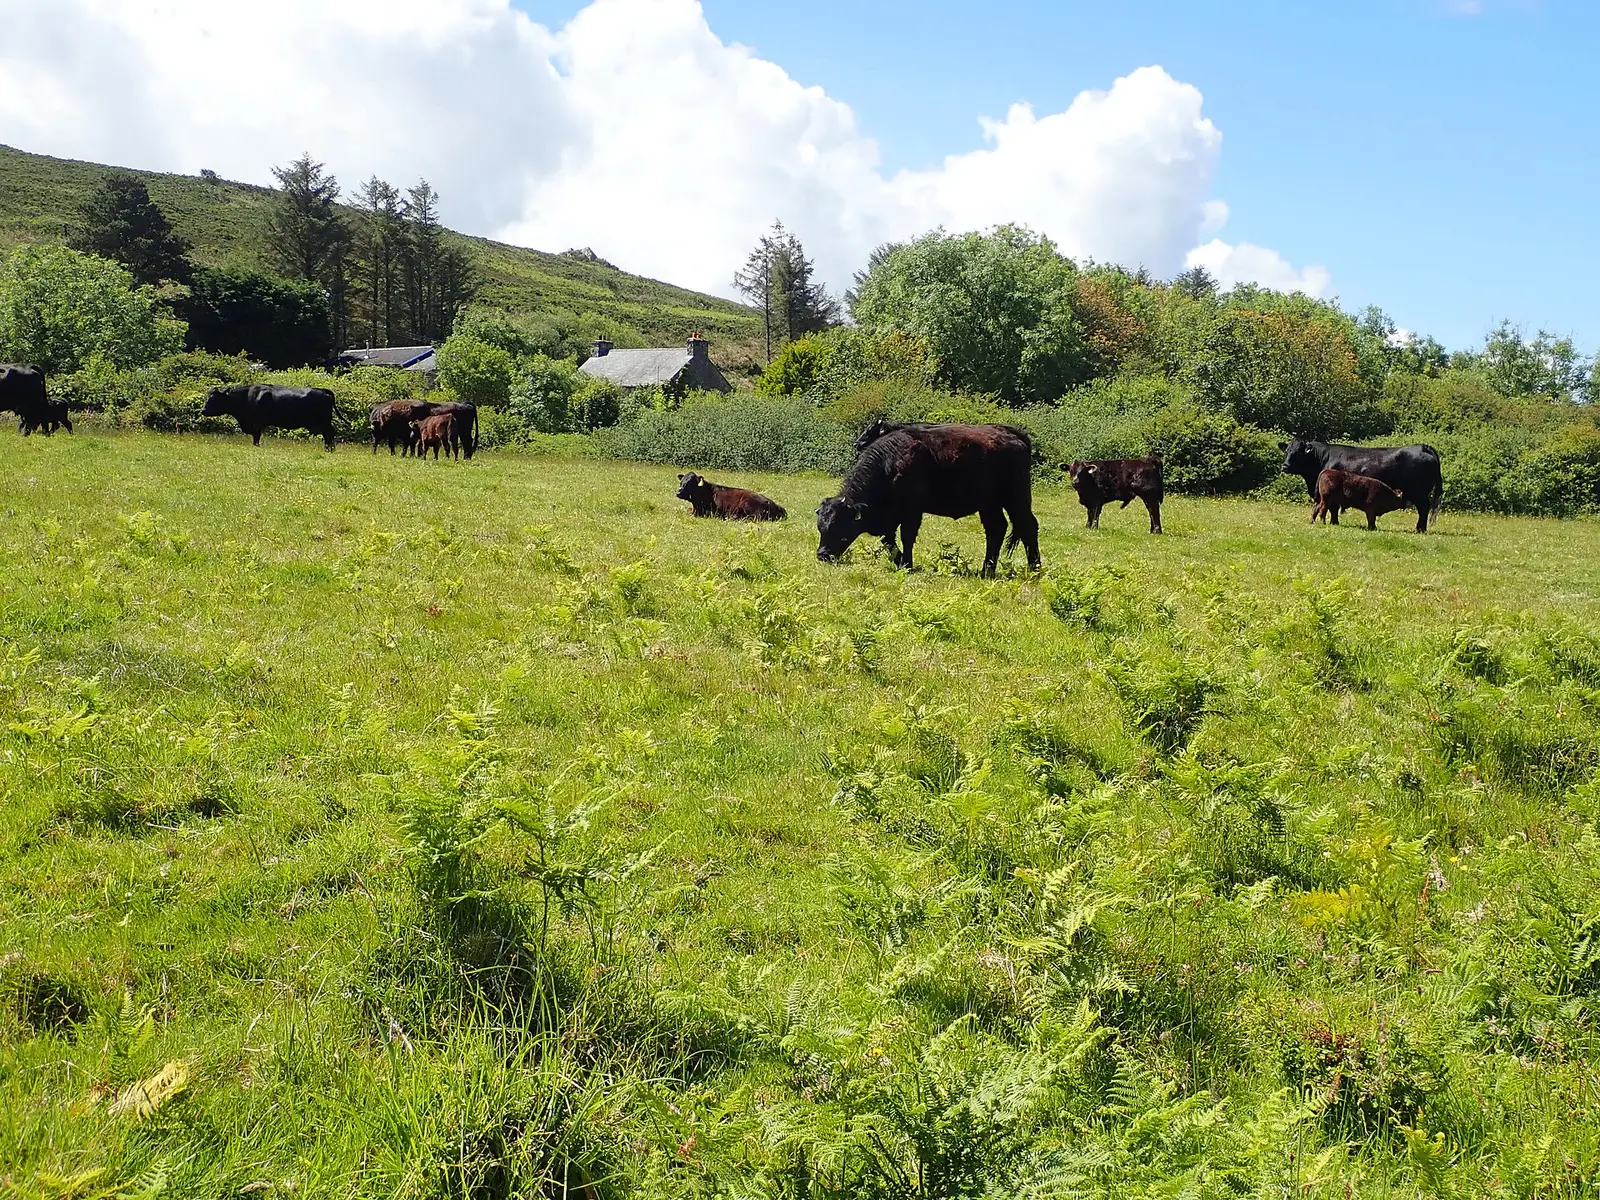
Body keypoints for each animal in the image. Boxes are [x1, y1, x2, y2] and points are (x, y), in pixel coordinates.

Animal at [202, 384, 337, 449]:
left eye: (214, 399)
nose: (203, 411)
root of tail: (323, 391)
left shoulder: (257, 423)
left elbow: (256, 437)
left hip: (324, 423)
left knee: (329, 434)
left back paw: (329, 449)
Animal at [816, 425, 1040, 578]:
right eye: (821, 527)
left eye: (838, 526)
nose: (822, 555)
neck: (890, 465)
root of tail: (1013, 434)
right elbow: (889, 540)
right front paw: (901, 561)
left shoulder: (912, 512)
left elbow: (906, 536)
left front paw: (907, 564)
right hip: (989, 505)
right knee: (996, 529)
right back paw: (987, 570)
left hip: (1015, 499)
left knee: (1028, 526)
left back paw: (1034, 569)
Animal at [1281, 439, 1443, 532]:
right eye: (1287, 451)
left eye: (1298, 452)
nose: (1285, 466)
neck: (1323, 458)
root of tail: (1422, 447)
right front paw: (1334, 522)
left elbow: (1333, 508)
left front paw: (1334, 522)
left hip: (1420, 493)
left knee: (1424, 509)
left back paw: (1420, 529)